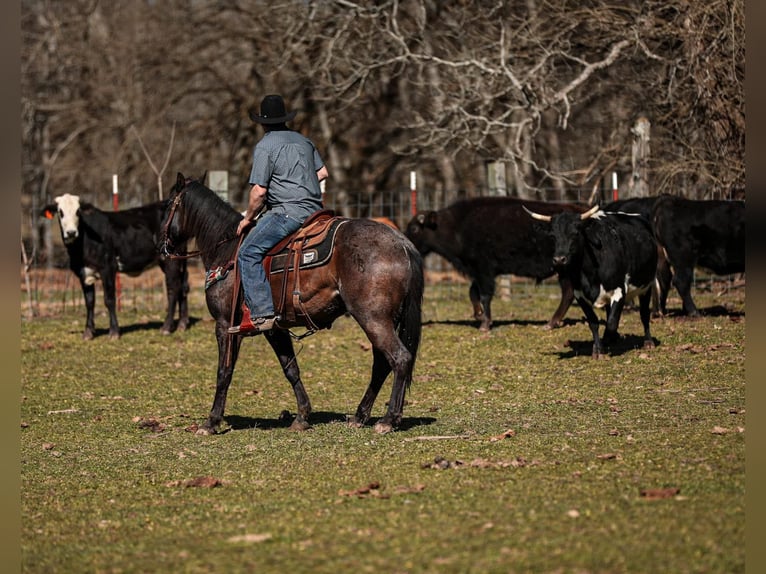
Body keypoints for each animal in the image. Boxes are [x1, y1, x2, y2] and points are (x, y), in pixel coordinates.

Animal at [42, 194, 191, 340]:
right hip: (177, 259)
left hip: (170, 260)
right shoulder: (83, 273)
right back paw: (182, 324)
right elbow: (89, 302)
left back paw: (167, 327)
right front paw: (88, 332)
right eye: (60, 212)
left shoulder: (107, 268)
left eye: (78, 211)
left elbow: (109, 299)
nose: (71, 232)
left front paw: (114, 332)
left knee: (173, 288)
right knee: (182, 286)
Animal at [157, 176, 426, 436]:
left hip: (373, 318)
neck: (227, 252)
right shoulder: (275, 329)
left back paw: (388, 420)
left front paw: (211, 422)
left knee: (399, 358)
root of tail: (402, 243)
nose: (160, 244)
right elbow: (290, 368)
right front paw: (302, 416)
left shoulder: (225, 326)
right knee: (381, 363)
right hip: (383, 319)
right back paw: (360, 416)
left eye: (169, 204)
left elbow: (224, 372)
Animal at [402, 198, 588, 332]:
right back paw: (551, 323)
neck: (457, 226)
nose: (405, 243)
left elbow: (484, 295)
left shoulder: (484, 271)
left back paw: (551, 323)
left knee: (568, 293)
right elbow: (473, 292)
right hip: (563, 269)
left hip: (565, 268)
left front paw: (484, 325)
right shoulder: (478, 272)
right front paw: (478, 315)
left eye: (415, 229)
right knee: (569, 293)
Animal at [528, 205, 660, 360]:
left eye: (575, 233)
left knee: (644, 313)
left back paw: (648, 341)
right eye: (552, 236)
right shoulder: (579, 294)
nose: (559, 259)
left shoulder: (620, 290)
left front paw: (606, 341)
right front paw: (598, 350)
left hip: (646, 286)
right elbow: (594, 322)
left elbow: (612, 323)